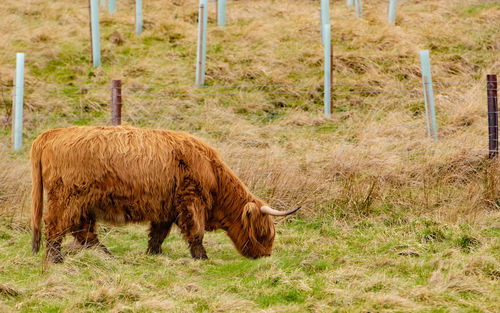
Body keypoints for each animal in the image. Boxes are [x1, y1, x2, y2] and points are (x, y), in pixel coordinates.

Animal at [30, 125, 300, 262]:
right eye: (263, 232)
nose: (266, 256)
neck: (212, 172)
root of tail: (50, 134)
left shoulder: (167, 207)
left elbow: (158, 234)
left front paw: (153, 254)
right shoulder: (191, 200)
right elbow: (196, 232)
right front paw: (202, 257)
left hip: (82, 202)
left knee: (83, 231)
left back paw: (106, 255)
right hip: (66, 197)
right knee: (55, 225)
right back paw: (56, 259)